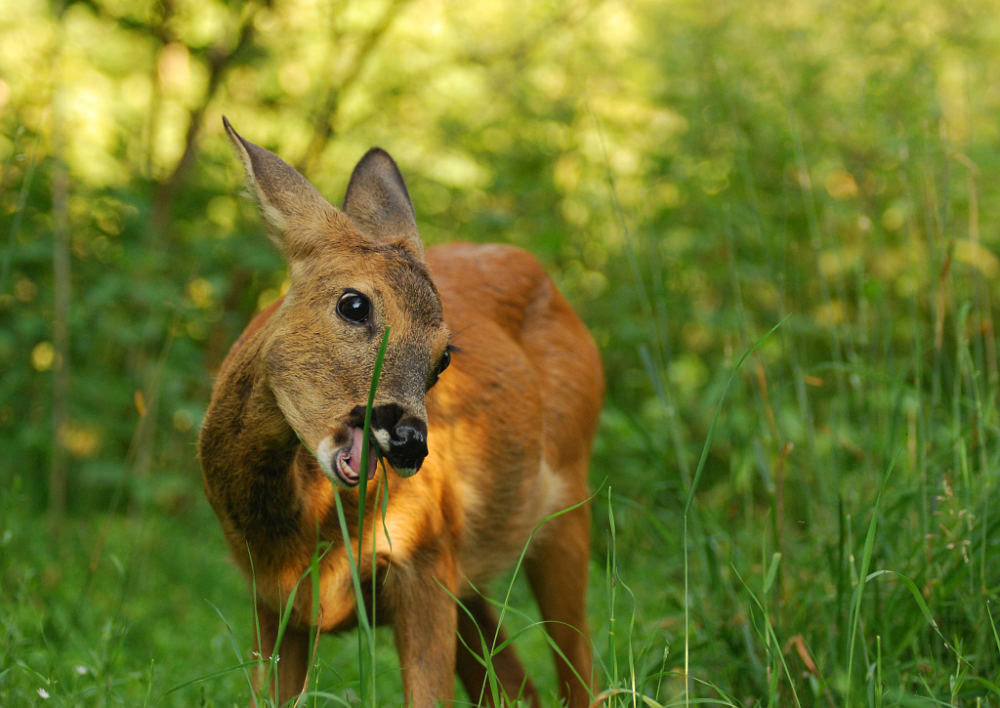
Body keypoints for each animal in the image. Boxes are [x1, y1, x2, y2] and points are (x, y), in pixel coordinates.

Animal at [197, 119, 600, 704]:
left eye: (444, 356)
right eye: (353, 304)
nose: (410, 439)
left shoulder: (426, 560)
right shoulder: (270, 601)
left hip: (568, 502)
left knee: (580, 673)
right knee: (517, 684)